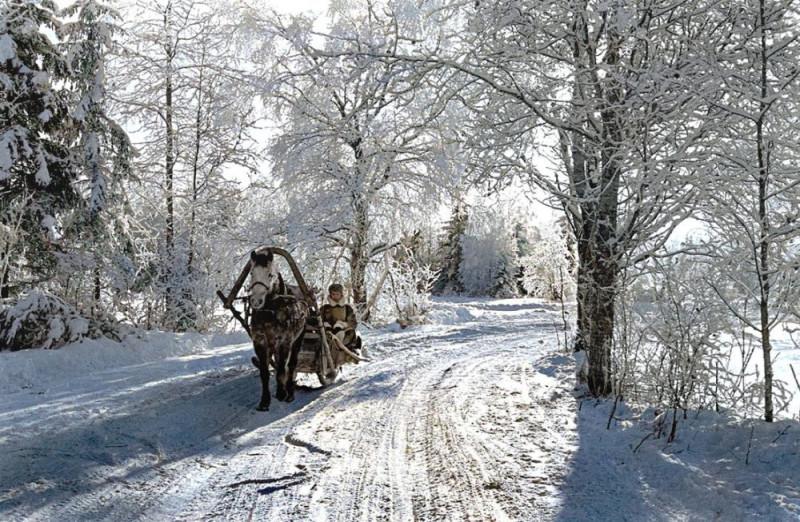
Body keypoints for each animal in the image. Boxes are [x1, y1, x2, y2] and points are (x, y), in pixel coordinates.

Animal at [245, 246, 308, 408]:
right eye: (252, 273)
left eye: (270, 274)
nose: (256, 301)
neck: (271, 311)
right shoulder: (260, 342)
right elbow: (265, 372)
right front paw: (264, 401)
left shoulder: (285, 341)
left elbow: (280, 370)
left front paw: (281, 394)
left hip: (298, 340)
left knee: (291, 365)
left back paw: (289, 392)